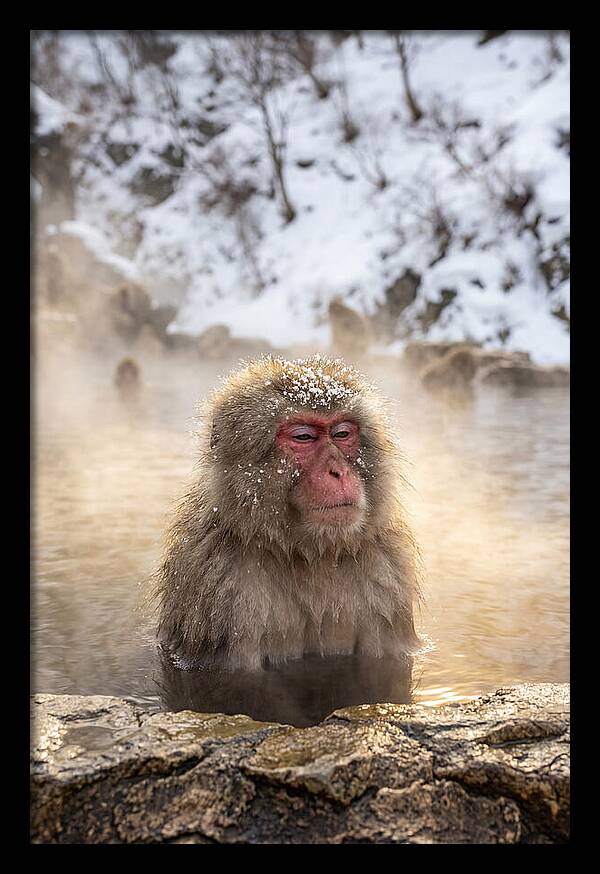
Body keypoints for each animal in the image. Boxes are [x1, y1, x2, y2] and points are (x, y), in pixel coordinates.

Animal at [153, 355, 422, 672]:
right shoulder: (220, 587)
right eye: (303, 437)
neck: (310, 555)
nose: (339, 471)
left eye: (342, 433)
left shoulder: (387, 576)